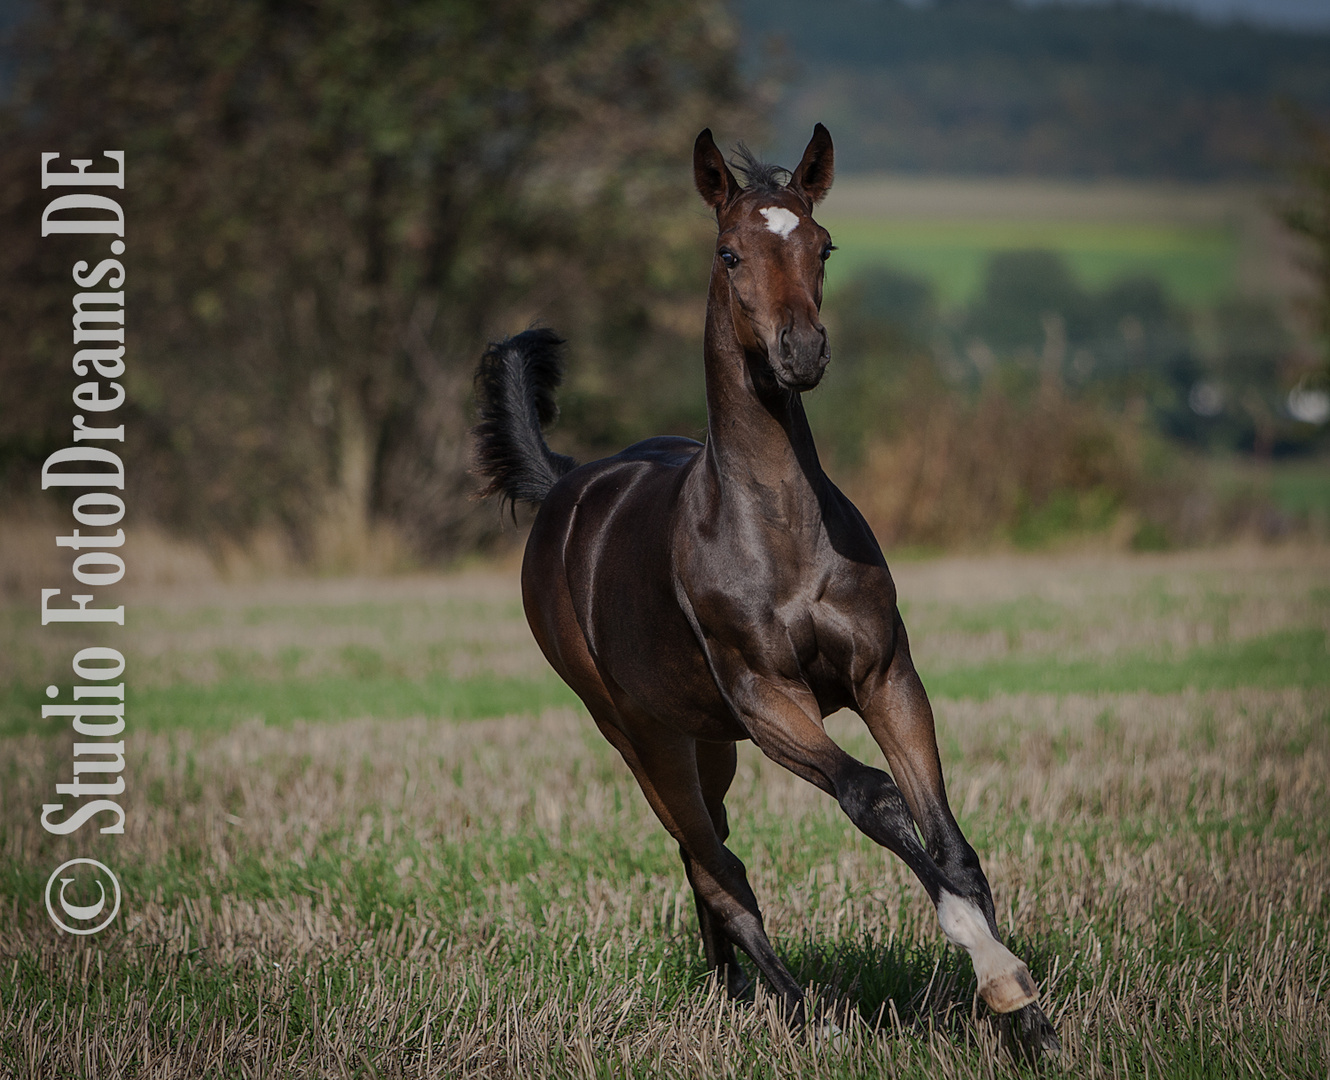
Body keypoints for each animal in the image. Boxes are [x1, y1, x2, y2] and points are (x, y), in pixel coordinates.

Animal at [468, 126, 1058, 1053]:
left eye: (824, 245)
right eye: (729, 252)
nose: (800, 351)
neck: (778, 530)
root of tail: (566, 484)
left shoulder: (886, 676)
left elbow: (950, 842)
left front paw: (1029, 1017)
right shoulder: (770, 699)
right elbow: (873, 797)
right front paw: (994, 972)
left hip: (704, 738)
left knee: (704, 851)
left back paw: (734, 991)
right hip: (636, 732)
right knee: (719, 868)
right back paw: (798, 1011)